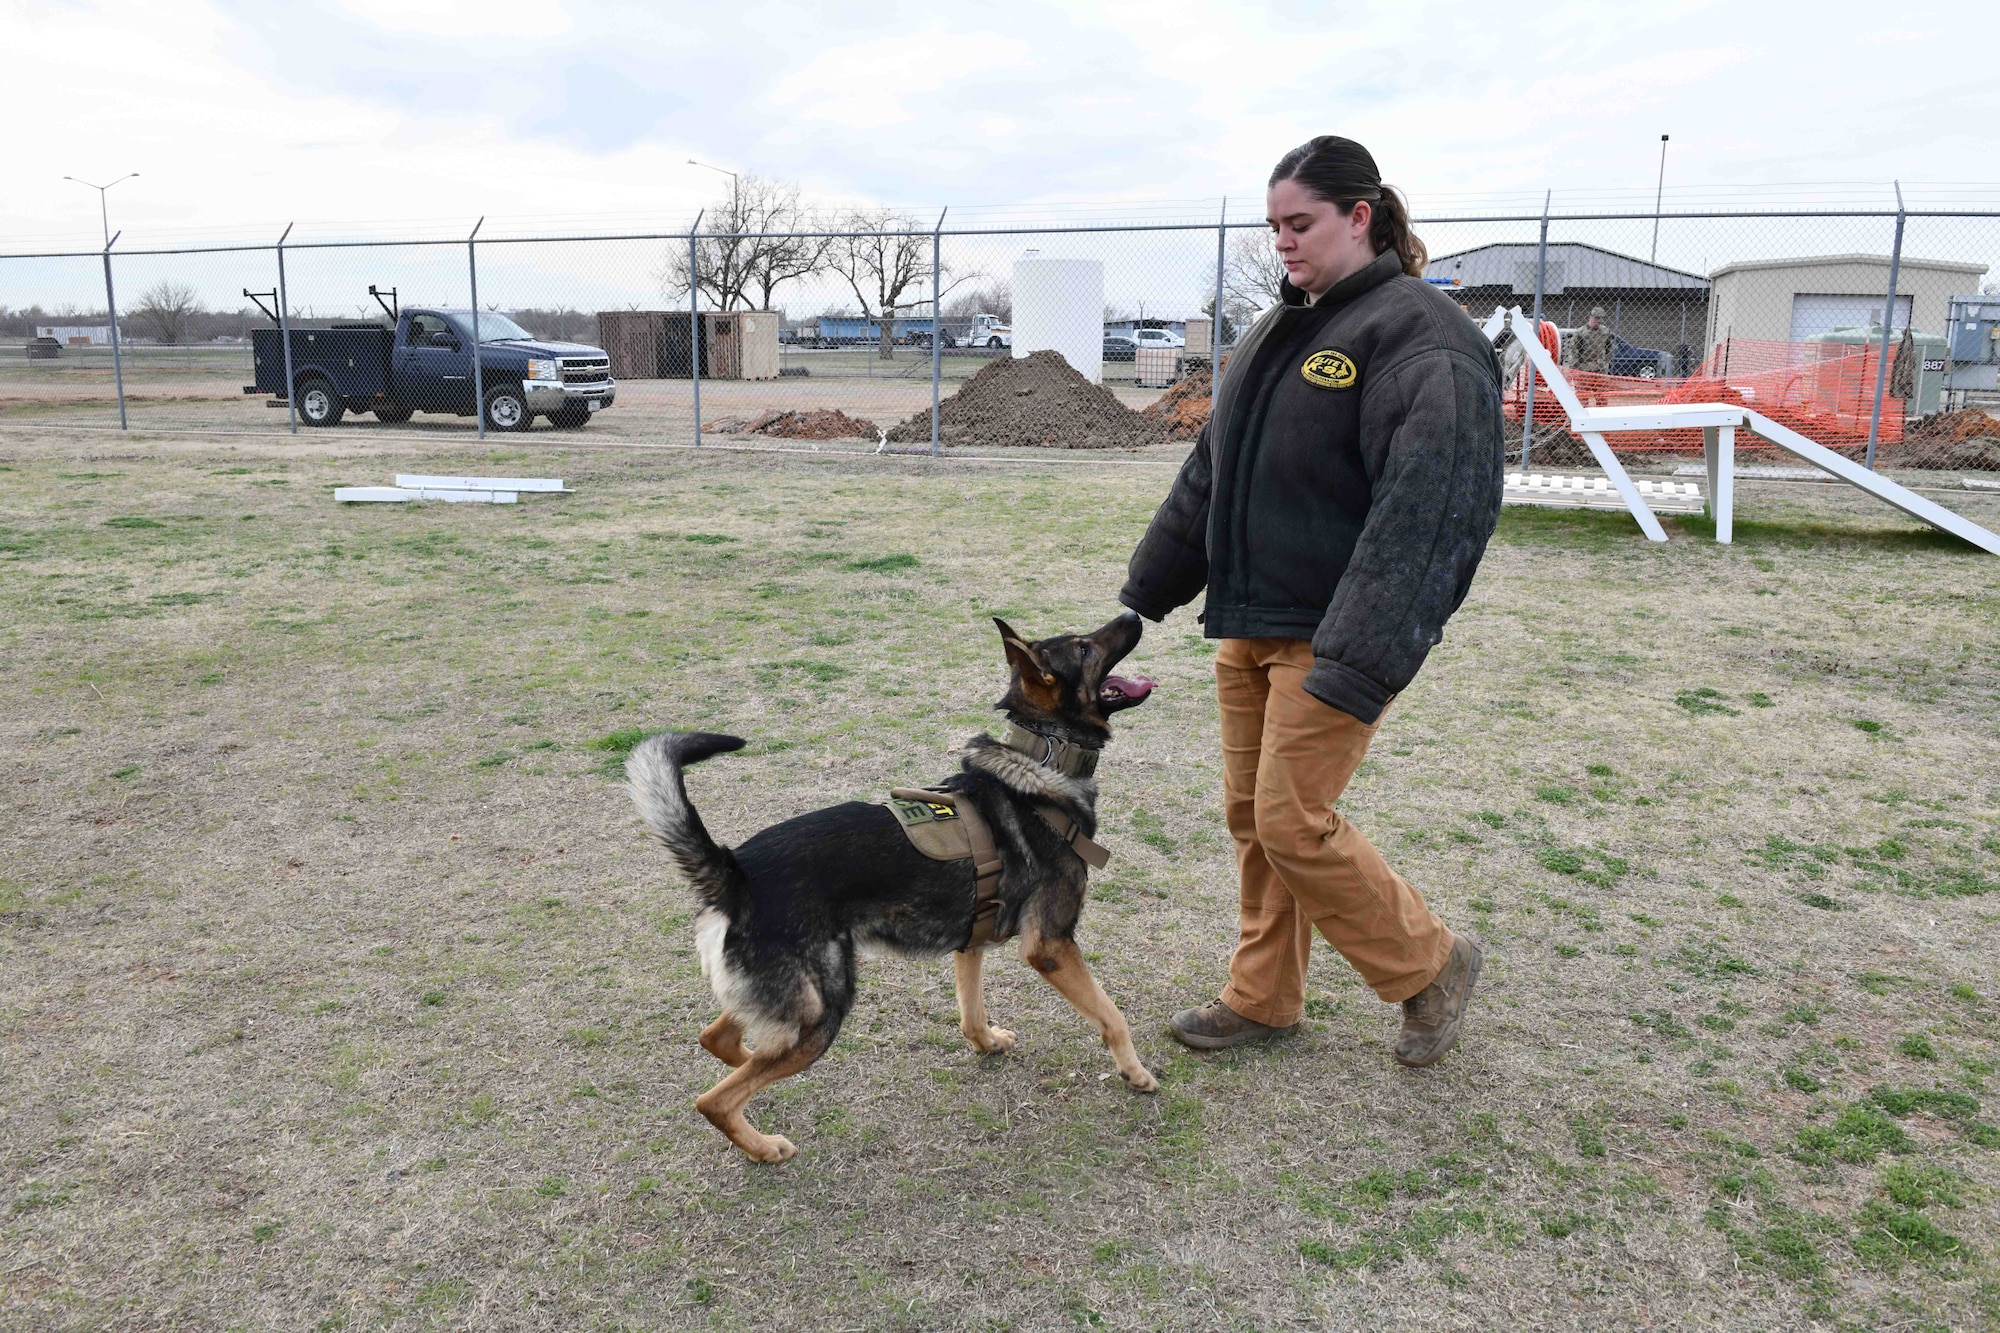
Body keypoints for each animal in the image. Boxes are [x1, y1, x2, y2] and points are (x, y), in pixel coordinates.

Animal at [624, 608, 1160, 1160]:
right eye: (1083, 647)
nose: (1132, 612)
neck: (1043, 760)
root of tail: (736, 873)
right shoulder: (1052, 946)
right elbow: (1112, 1015)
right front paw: (1136, 1073)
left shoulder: (971, 941)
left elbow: (971, 1014)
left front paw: (987, 1043)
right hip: (823, 1012)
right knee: (714, 1099)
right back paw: (765, 1147)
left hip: (795, 1004)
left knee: (722, 1040)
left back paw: (752, 1062)